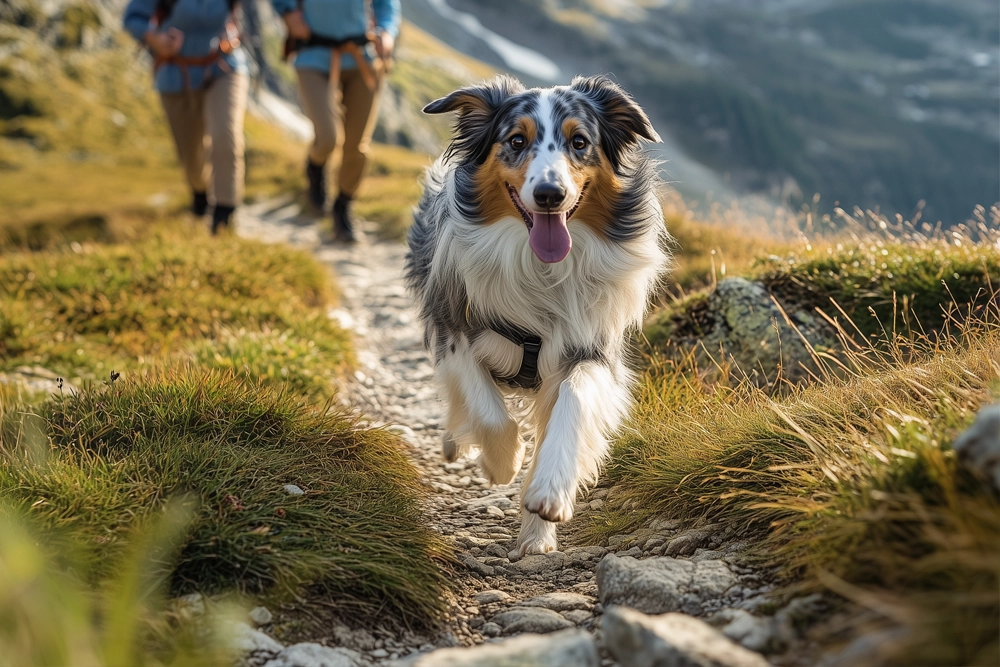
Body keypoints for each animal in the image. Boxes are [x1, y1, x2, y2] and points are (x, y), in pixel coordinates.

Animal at [404, 73, 672, 556]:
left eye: (580, 142)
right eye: (516, 140)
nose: (551, 194)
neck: (541, 269)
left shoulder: (590, 348)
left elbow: (574, 402)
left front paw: (544, 506)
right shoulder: (453, 329)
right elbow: (488, 408)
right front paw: (503, 464)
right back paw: (457, 445)